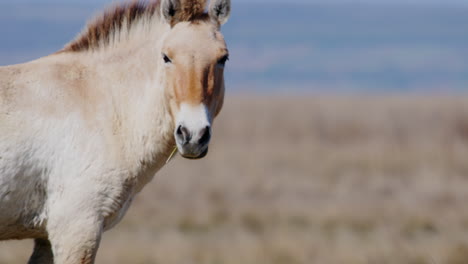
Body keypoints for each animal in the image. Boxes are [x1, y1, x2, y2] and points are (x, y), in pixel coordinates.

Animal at [0, 0, 229, 262]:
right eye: (166, 57)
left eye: (223, 58)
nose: (193, 136)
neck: (102, 102)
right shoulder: (76, 230)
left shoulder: (46, 239)